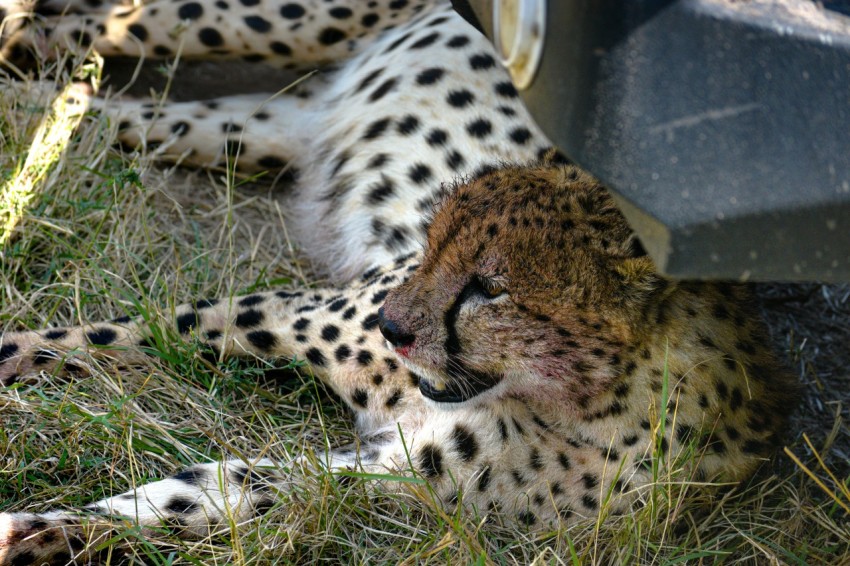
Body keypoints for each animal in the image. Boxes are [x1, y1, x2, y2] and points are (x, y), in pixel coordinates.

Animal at [0, 2, 800, 564]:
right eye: (434, 239)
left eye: (491, 288)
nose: (391, 324)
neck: (588, 401)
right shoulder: (277, 310)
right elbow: (87, 338)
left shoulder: (386, 473)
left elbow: (191, 500)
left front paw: (33, 532)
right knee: (132, 19)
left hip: (252, 125)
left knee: (87, 108)